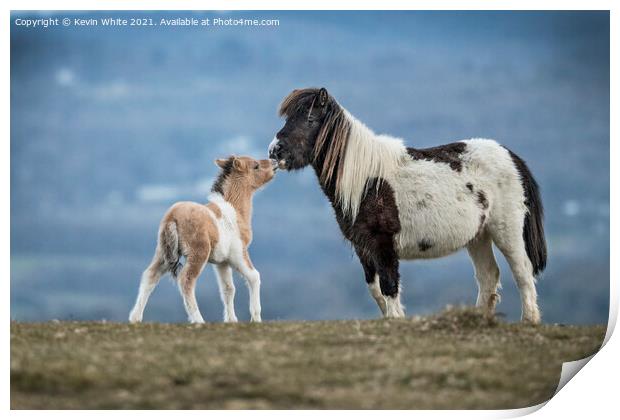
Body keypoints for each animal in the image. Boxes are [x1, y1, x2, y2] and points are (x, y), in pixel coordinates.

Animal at [128, 156, 274, 324]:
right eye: (256, 166)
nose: (274, 162)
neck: (234, 210)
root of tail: (172, 216)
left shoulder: (222, 262)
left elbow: (228, 289)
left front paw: (231, 320)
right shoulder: (238, 253)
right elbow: (254, 276)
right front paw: (256, 319)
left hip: (162, 252)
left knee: (150, 275)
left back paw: (135, 318)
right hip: (198, 253)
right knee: (186, 280)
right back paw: (198, 320)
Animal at [268, 86, 544, 322]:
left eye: (310, 120)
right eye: (288, 119)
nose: (274, 151)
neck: (367, 181)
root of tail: (512, 157)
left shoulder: (383, 244)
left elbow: (390, 287)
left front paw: (396, 321)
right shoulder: (363, 247)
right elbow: (376, 290)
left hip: (506, 231)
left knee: (523, 272)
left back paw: (529, 321)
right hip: (479, 236)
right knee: (488, 276)